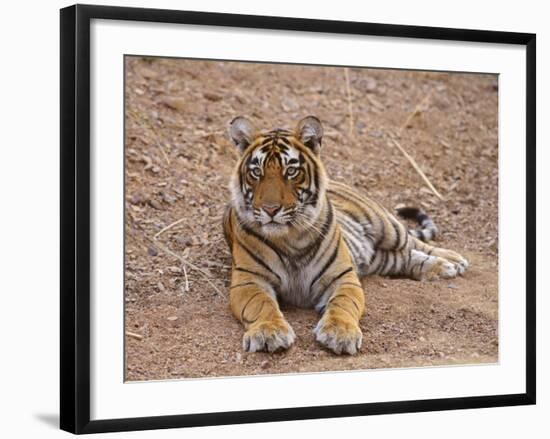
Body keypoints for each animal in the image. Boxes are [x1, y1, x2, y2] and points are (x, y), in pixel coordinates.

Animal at [224, 115, 470, 356]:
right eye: (256, 172)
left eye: (291, 172)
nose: (270, 209)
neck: (290, 236)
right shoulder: (249, 280)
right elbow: (260, 304)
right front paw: (269, 332)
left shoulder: (342, 276)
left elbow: (343, 304)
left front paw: (340, 333)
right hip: (382, 260)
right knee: (406, 257)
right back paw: (441, 267)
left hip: (387, 227)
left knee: (414, 243)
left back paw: (453, 260)